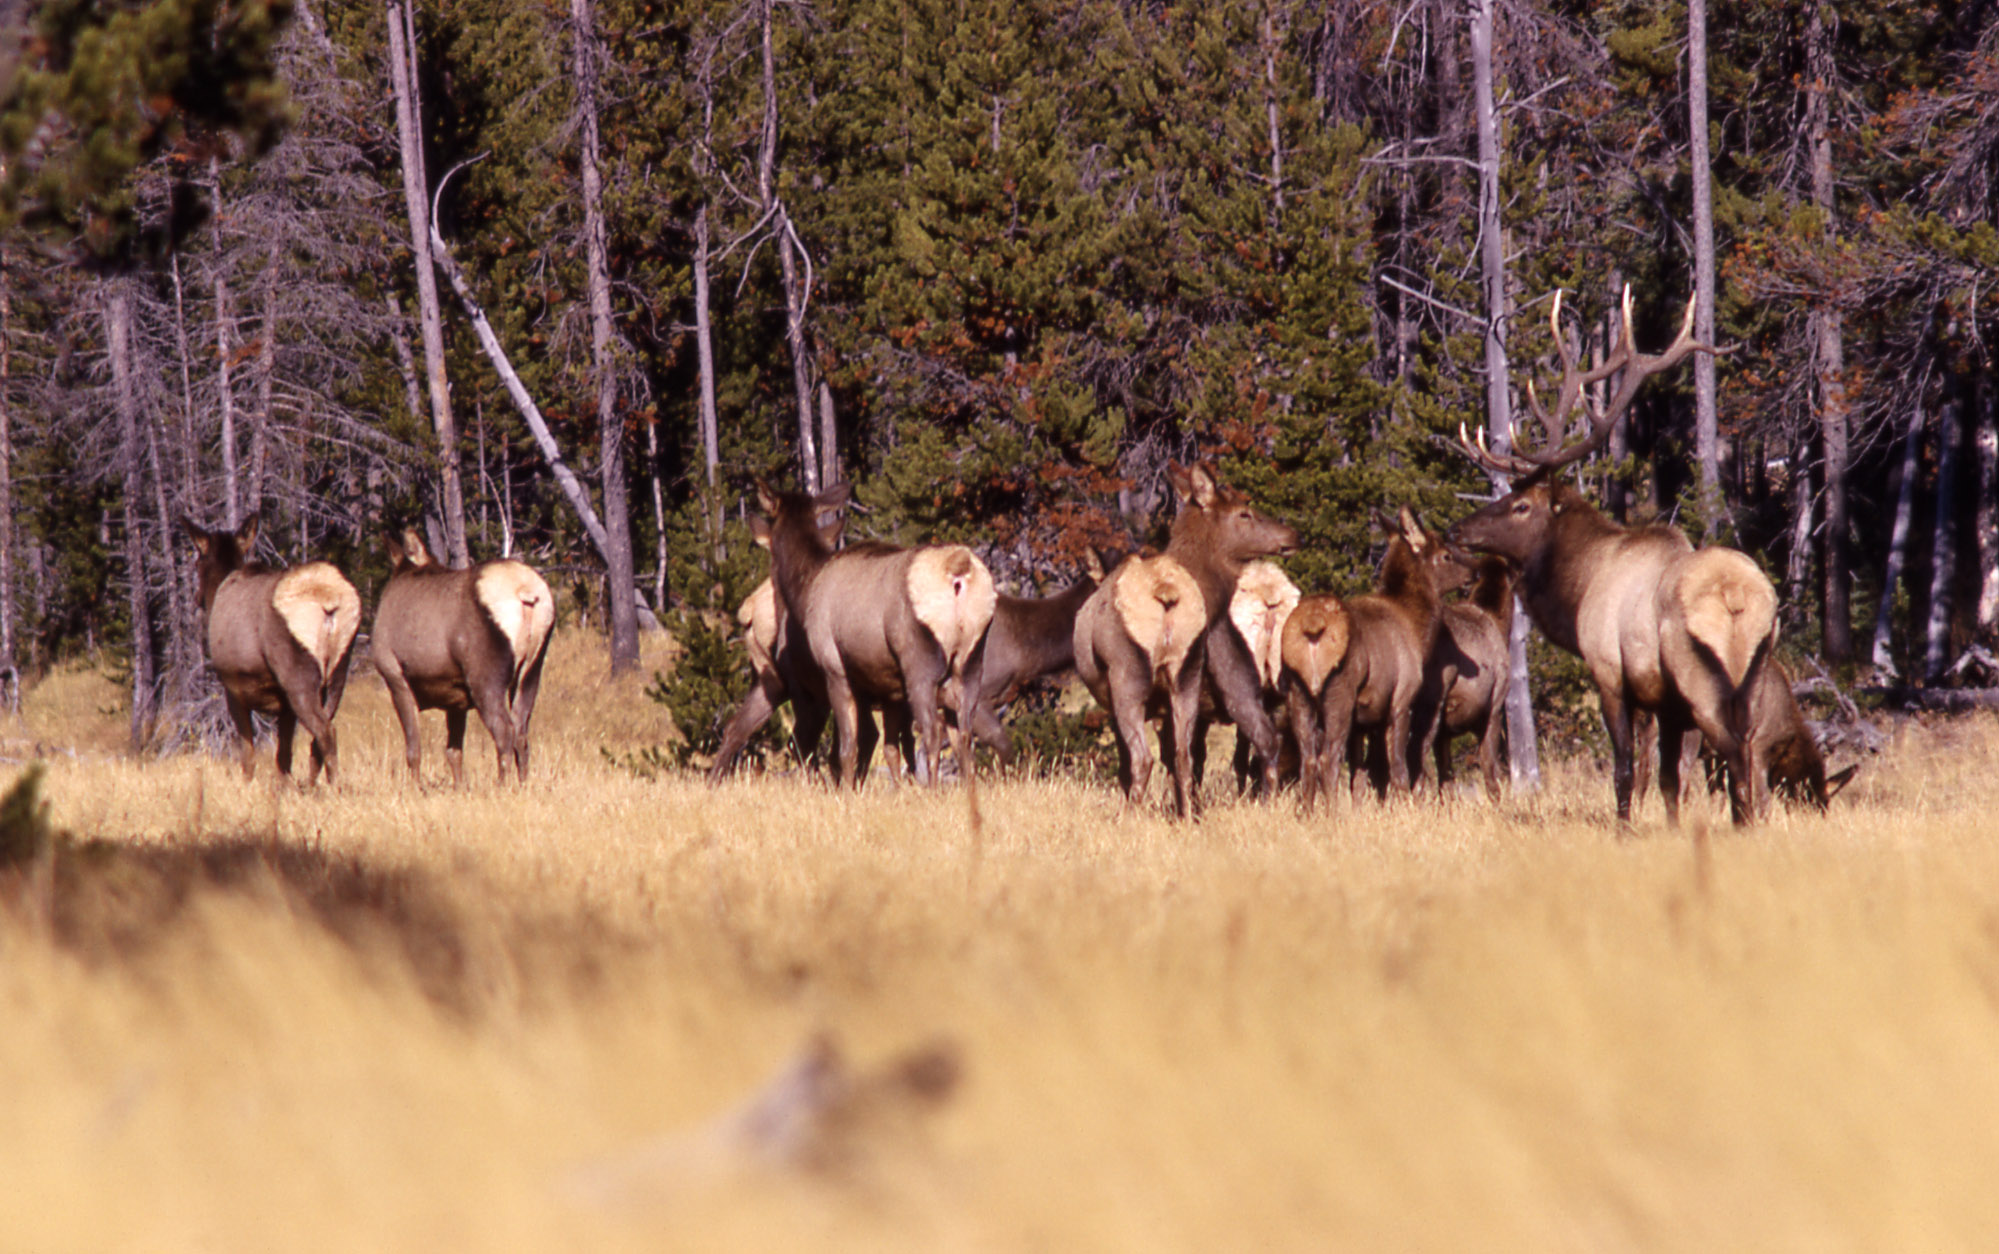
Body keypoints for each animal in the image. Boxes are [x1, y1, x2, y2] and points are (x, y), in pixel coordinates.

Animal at [181, 516, 361, 780]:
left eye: (197, 562)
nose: (197, 598)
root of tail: (329, 601)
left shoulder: (233, 688)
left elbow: (248, 755)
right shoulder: (284, 704)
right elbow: (283, 756)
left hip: (298, 675)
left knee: (325, 731)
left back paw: (333, 785)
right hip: (339, 669)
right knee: (321, 735)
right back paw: (313, 783)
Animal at [367, 528, 551, 784]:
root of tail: (525, 591)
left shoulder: (394, 676)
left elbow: (413, 749)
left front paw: (416, 787)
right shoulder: (456, 698)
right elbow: (454, 752)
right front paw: (459, 786)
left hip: (485, 677)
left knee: (504, 730)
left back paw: (502, 785)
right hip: (532, 670)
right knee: (521, 731)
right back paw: (523, 785)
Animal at [1455, 290, 1783, 828]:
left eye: (1521, 506)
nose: (1456, 530)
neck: (1579, 588)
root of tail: (1737, 597)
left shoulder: (1609, 672)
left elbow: (1627, 767)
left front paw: (1625, 830)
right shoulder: (1664, 702)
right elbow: (1669, 779)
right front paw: (1671, 830)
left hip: (1703, 680)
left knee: (1735, 753)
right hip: (1755, 675)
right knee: (1753, 757)